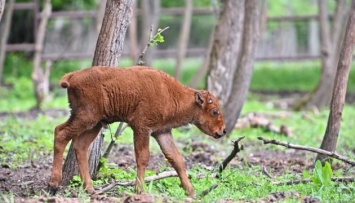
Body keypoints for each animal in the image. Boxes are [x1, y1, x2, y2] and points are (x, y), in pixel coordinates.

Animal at [47, 66, 227, 197]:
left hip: (95, 124)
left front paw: (191, 192)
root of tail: (72, 76)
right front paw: (139, 190)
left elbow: (176, 159)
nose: (223, 131)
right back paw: (53, 185)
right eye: (214, 111)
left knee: (80, 146)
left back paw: (90, 189)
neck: (171, 93)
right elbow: (143, 157)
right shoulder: (141, 128)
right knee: (60, 133)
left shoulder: (162, 131)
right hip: (86, 117)